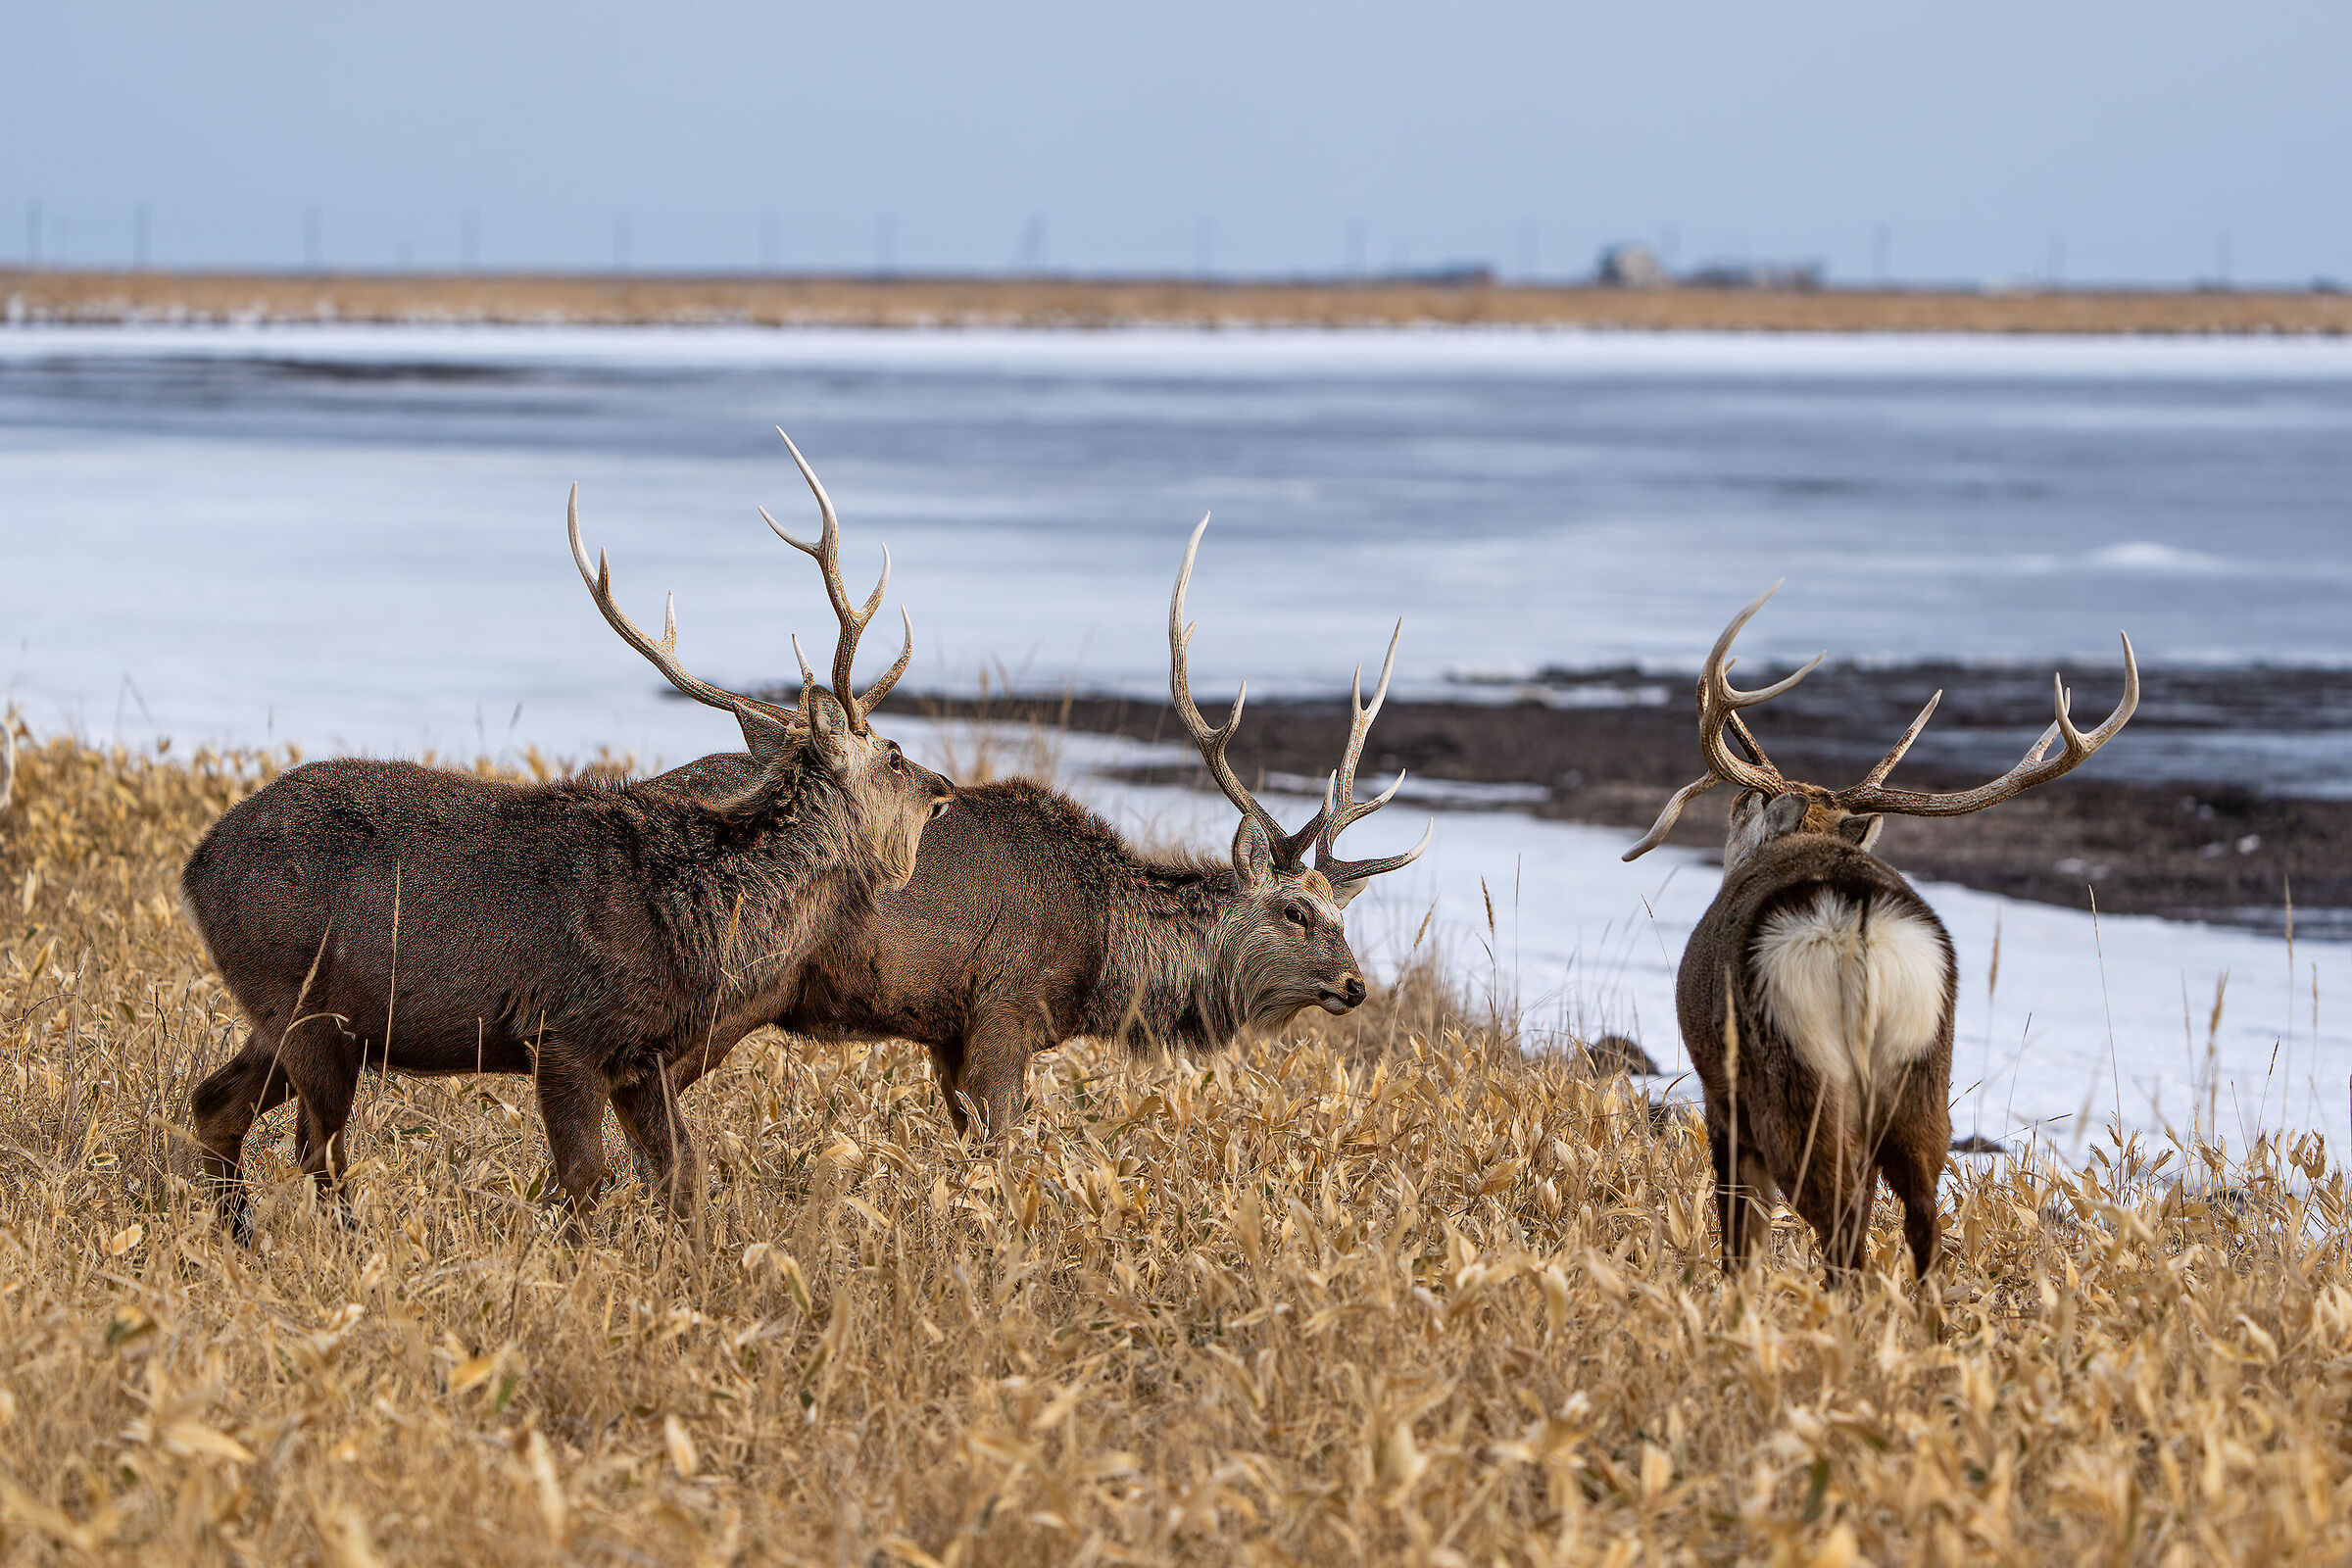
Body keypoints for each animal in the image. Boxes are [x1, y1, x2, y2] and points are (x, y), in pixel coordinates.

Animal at [181, 431, 954, 1239]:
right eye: (894, 754)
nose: (944, 792)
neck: (703, 916)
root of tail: (194, 868)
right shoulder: (562, 1031)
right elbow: (585, 1177)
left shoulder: (642, 1054)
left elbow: (681, 1175)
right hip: (299, 998)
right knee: (317, 1147)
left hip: (292, 1015)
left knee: (216, 1105)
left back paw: (238, 1233)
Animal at [651, 516, 1431, 1136]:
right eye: (1295, 910)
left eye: (1341, 913)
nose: (1356, 984)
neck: (1100, 952)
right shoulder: (1004, 1010)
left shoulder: (947, 1033)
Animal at [1622, 584, 2137, 1281]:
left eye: (1740, 812)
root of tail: (1860, 930)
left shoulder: (1718, 1088)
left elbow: (1739, 1229)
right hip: (1923, 1072)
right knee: (1921, 1218)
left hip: (1797, 1077)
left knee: (1841, 1228)